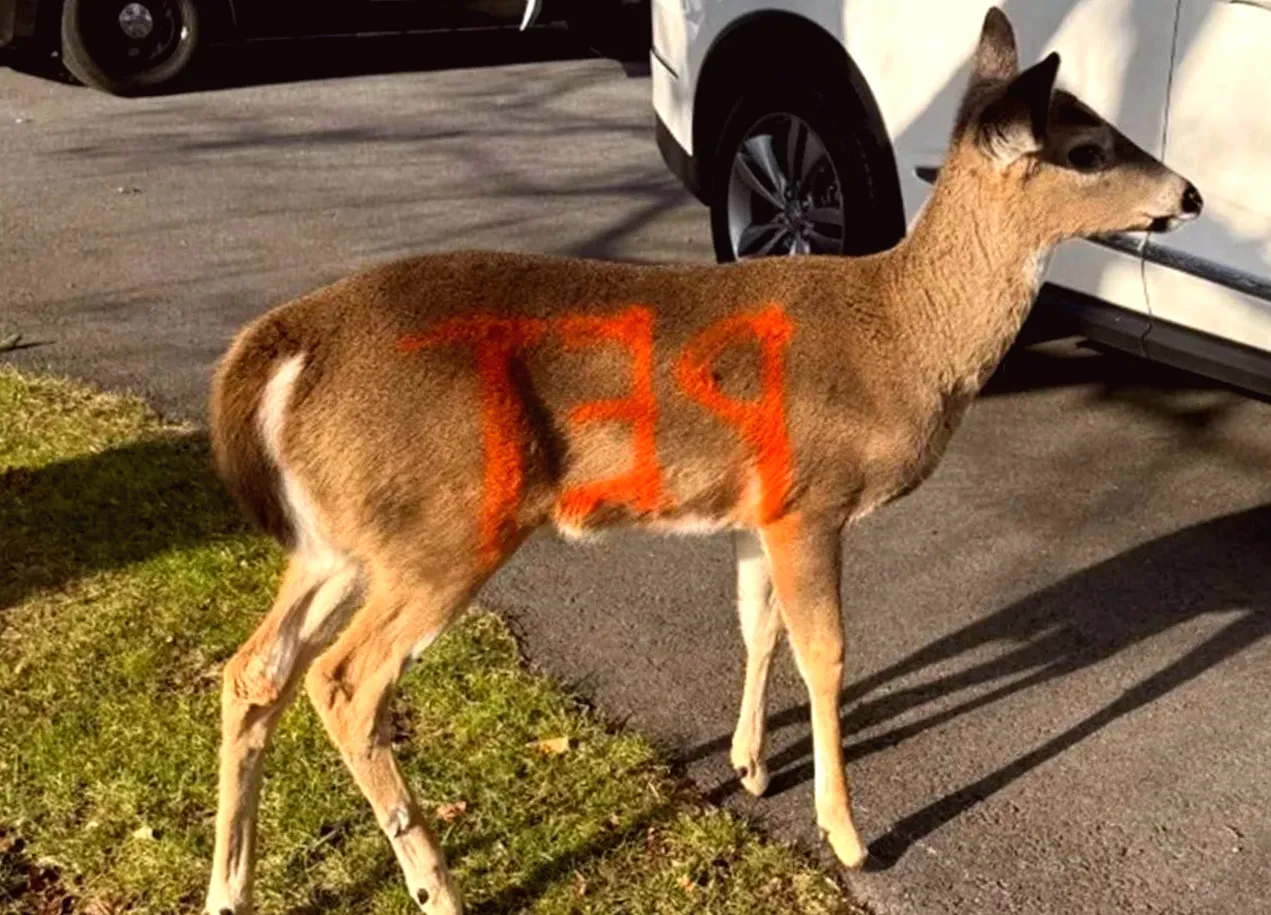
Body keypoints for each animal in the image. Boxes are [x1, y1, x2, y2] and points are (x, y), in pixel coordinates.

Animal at [203, 9, 1202, 914]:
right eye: (1085, 147)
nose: (1189, 194)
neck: (902, 335)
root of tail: (288, 344)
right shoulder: (811, 497)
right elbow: (826, 652)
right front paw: (848, 832)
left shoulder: (757, 509)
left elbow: (756, 626)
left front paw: (750, 764)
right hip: (445, 521)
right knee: (343, 683)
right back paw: (436, 886)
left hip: (336, 538)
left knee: (252, 670)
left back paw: (228, 891)